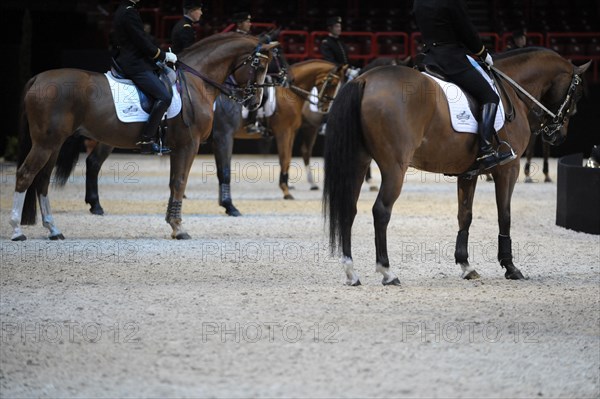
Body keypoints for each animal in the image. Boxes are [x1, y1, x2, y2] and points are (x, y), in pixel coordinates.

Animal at [9, 32, 276, 241]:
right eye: (259, 66)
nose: (254, 102)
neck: (196, 82)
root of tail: (37, 78)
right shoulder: (189, 145)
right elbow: (180, 182)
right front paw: (179, 227)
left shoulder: (177, 147)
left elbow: (174, 182)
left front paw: (172, 223)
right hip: (46, 144)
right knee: (25, 176)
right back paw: (17, 231)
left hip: (53, 145)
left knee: (42, 181)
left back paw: (53, 229)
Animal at [77, 57, 344, 217]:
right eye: (332, 84)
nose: (325, 106)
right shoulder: (283, 132)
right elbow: (285, 160)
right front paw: (286, 190)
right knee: (94, 162)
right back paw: (96, 204)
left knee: (92, 162)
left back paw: (95, 204)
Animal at [324, 48, 592, 286]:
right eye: (577, 95)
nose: (558, 136)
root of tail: (365, 80)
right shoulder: (508, 169)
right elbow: (504, 215)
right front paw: (510, 267)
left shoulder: (468, 174)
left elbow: (465, 215)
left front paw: (466, 265)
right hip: (395, 168)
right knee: (381, 211)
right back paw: (387, 272)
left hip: (359, 162)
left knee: (349, 209)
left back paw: (351, 272)